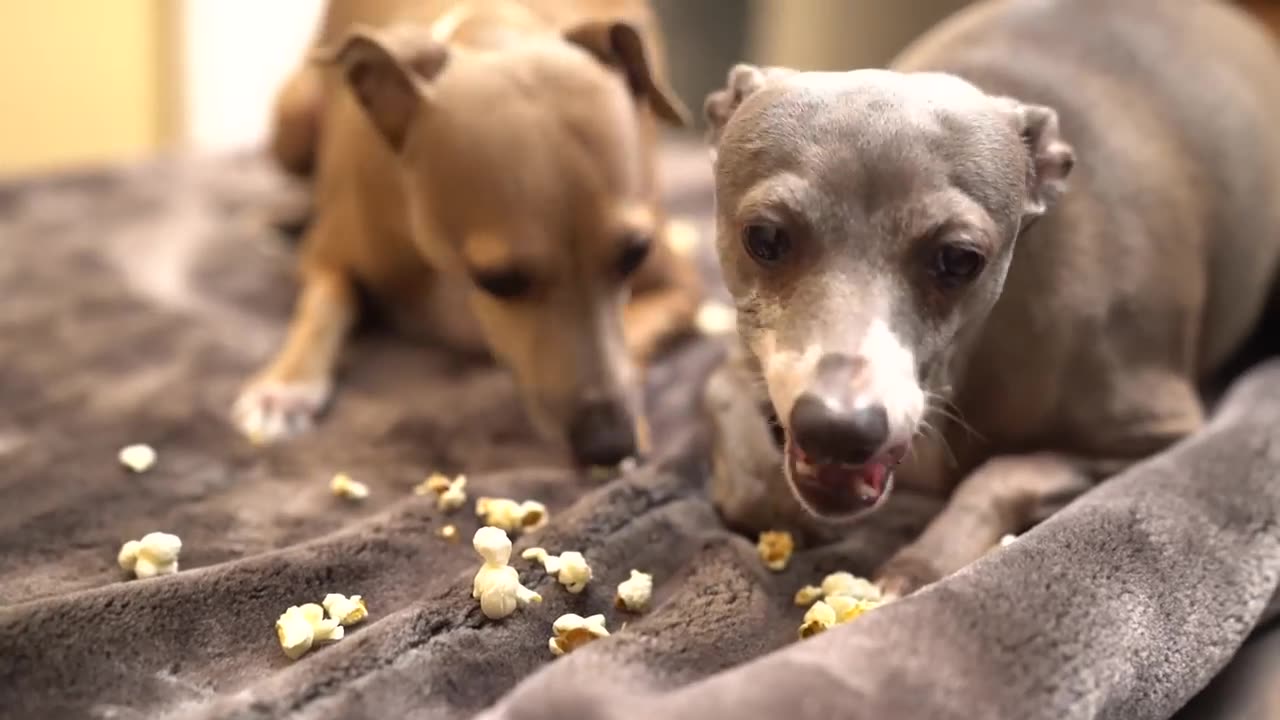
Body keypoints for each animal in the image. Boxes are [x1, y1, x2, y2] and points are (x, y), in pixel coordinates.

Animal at [235, 0, 706, 466]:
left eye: (636, 253)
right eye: (497, 279)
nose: (608, 444)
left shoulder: (681, 287)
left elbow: (633, 331)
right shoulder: (328, 253)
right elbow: (325, 302)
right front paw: (286, 386)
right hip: (293, 120)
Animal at [701, 0, 1280, 594]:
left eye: (959, 259)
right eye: (764, 238)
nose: (839, 431)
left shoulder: (1160, 435)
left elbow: (999, 474)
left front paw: (924, 563)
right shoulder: (749, 357)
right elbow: (723, 400)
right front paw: (773, 498)